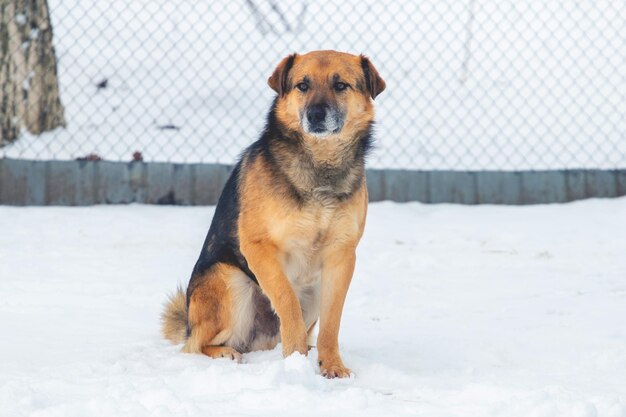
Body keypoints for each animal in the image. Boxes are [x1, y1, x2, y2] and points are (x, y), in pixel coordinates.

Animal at [160, 49, 386, 376]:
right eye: (303, 85)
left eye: (340, 85)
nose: (315, 115)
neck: (320, 165)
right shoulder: (259, 248)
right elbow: (287, 302)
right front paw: (296, 360)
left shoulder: (341, 257)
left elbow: (332, 322)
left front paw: (331, 365)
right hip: (230, 280)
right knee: (196, 345)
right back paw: (227, 352)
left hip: (313, 290)